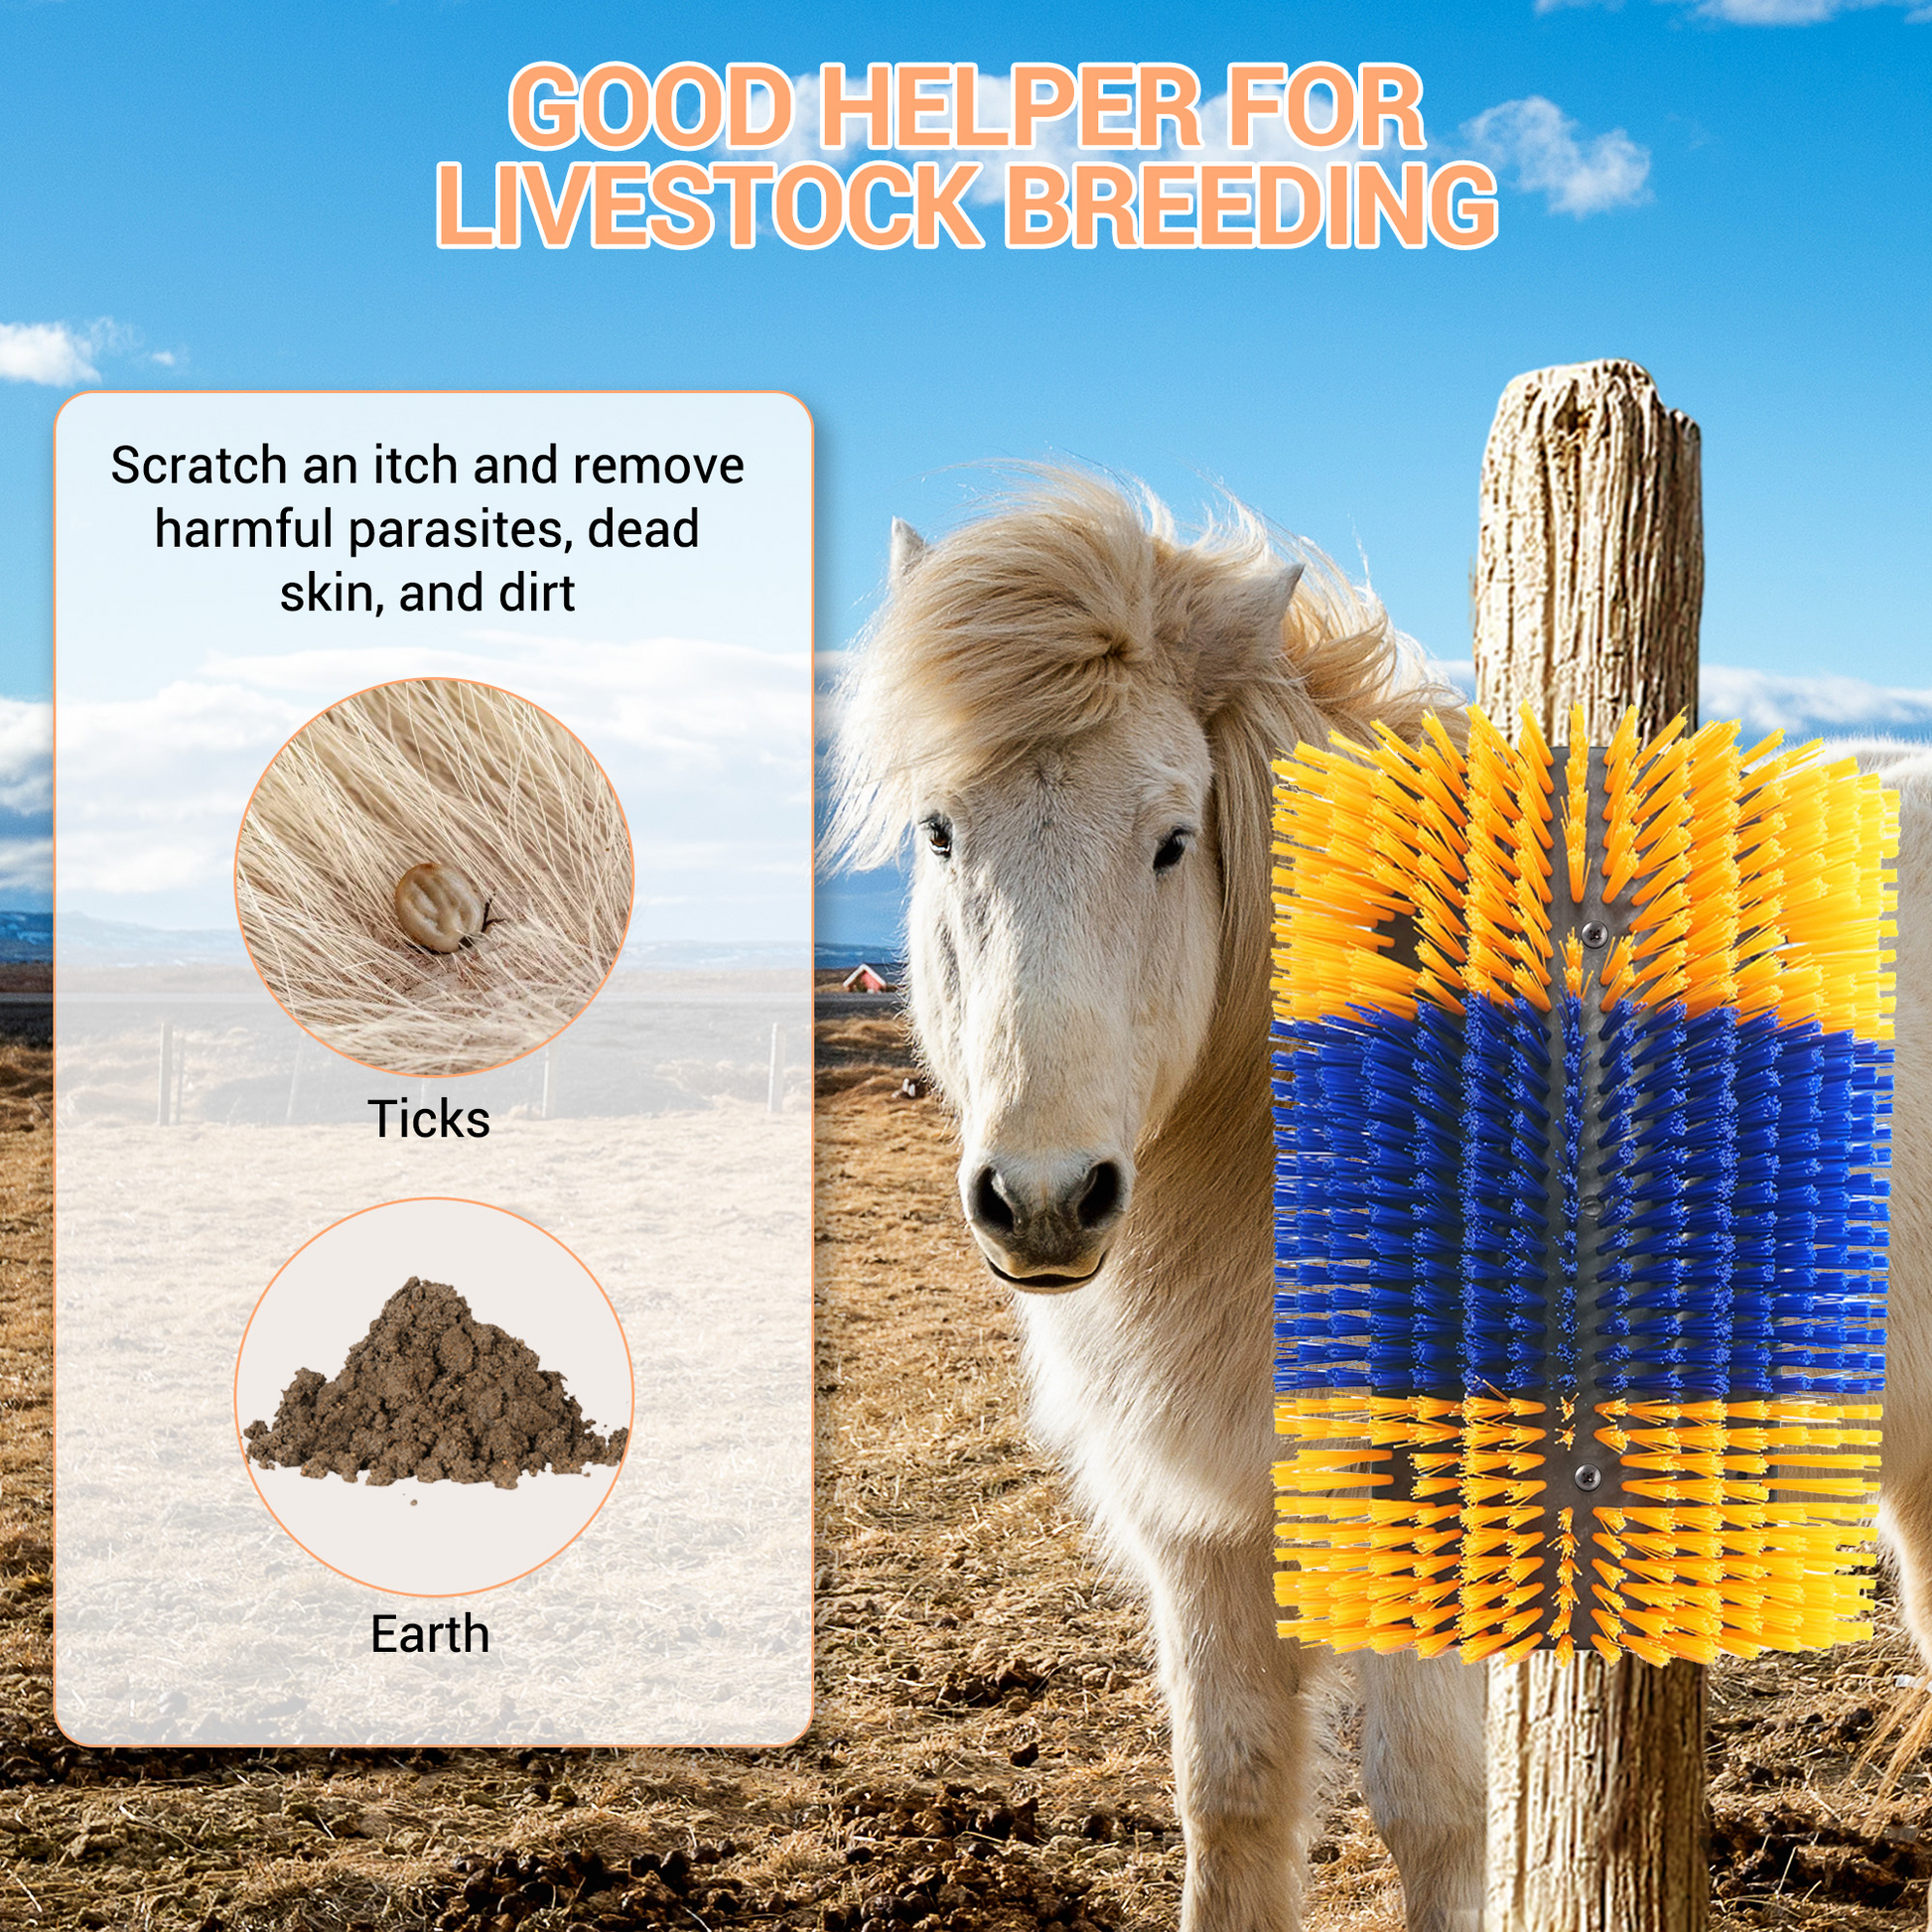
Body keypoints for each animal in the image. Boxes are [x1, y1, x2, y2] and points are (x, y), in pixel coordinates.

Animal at [829, 471, 1930, 1932]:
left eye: (1173, 839)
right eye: (941, 830)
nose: (1046, 1198)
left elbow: (1436, 1814)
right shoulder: (1203, 1533)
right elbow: (1228, 1797)